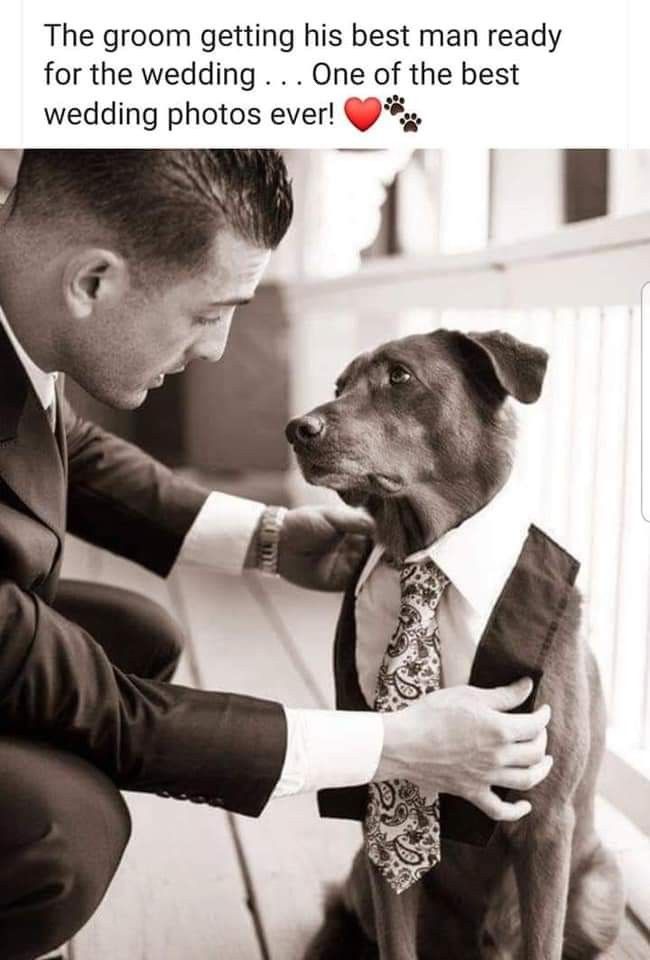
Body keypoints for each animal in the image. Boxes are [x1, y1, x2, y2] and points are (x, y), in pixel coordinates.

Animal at [284, 326, 624, 956]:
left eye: (399, 376)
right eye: (339, 386)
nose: (298, 429)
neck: (426, 550)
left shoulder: (546, 823)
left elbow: (543, 939)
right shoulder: (379, 818)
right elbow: (395, 940)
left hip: (597, 893)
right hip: (361, 876)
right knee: (341, 907)